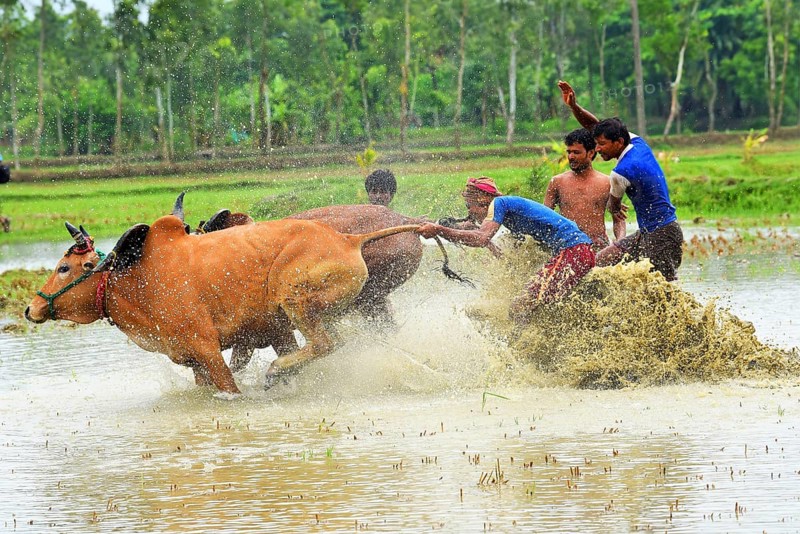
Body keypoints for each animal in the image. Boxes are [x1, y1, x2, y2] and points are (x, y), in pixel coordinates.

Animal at [25, 194, 421, 396]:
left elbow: (230, 388)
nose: (31, 308)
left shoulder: (208, 349)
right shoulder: (197, 360)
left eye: (65, 267)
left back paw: (275, 372)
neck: (138, 278)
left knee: (328, 343)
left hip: (298, 300)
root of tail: (348, 240)